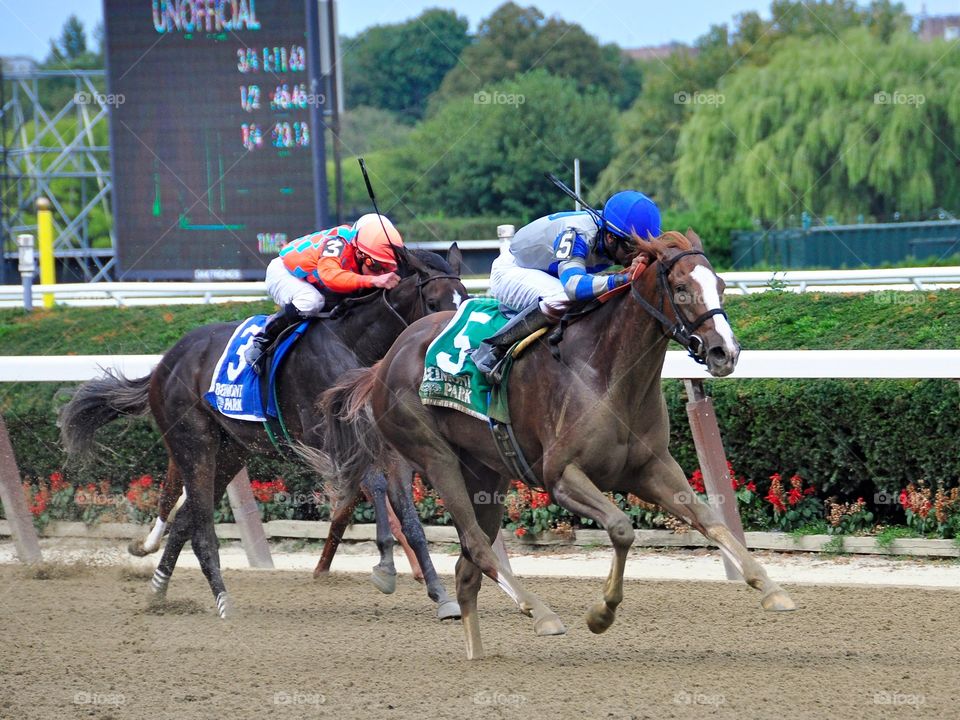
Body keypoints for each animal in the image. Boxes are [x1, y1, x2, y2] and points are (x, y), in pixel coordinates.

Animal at [59, 248, 464, 620]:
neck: (355, 345)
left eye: (465, 300)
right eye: (432, 302)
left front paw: (443, 596)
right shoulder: (332, 442)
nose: (450, 356)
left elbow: (410, 520)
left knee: (187, 517)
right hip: (195, 445)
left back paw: (158, 592)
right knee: (200, 524)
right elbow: (376, 490)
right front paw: (384, 569)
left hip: (230, 451)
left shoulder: (390, 449)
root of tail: (163, 365)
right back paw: (222, 601)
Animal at [320, 232, 796, 660]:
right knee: (476, 545)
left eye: (720, 285)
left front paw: (771, 588)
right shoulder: (561, 477)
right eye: (680, 289)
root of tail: (384, 360)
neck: (606, 372)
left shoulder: (652, 469)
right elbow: (621, 528)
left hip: (486, 474)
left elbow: (711, 520)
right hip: (435, 457)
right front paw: (600, 613)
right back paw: (542, 613)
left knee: (466, 566)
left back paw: (476, 653)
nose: (724, 352)